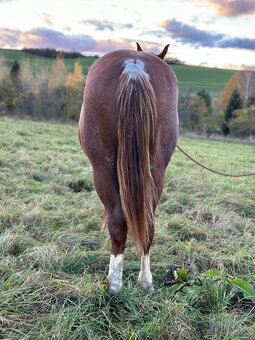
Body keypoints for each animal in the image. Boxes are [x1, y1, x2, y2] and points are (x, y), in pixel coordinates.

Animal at [78, 43, 178, 292]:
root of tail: (135, 66)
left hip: (102, 168)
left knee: (117, 221)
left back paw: (114, 284)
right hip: (156, 169)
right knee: (149, 223)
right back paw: (145, 282)